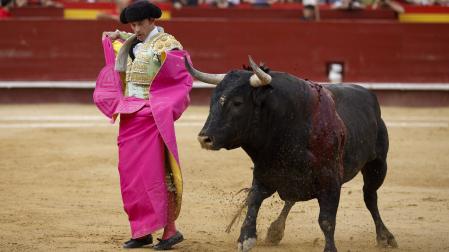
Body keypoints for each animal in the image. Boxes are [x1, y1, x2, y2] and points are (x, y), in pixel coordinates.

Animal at [184, 57, 398, 252]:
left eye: (237, 103)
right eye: (212, 101)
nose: (204, 138)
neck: (288, 125)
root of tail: (369, 95)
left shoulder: (330, 181)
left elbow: (326, 220)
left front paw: (330, 248)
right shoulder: (265, 173)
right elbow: (253, 201)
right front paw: (246, 237)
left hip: (378, 165)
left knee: (370, 197)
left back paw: (385, 237)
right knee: (291, 199)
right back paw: (275, 231)